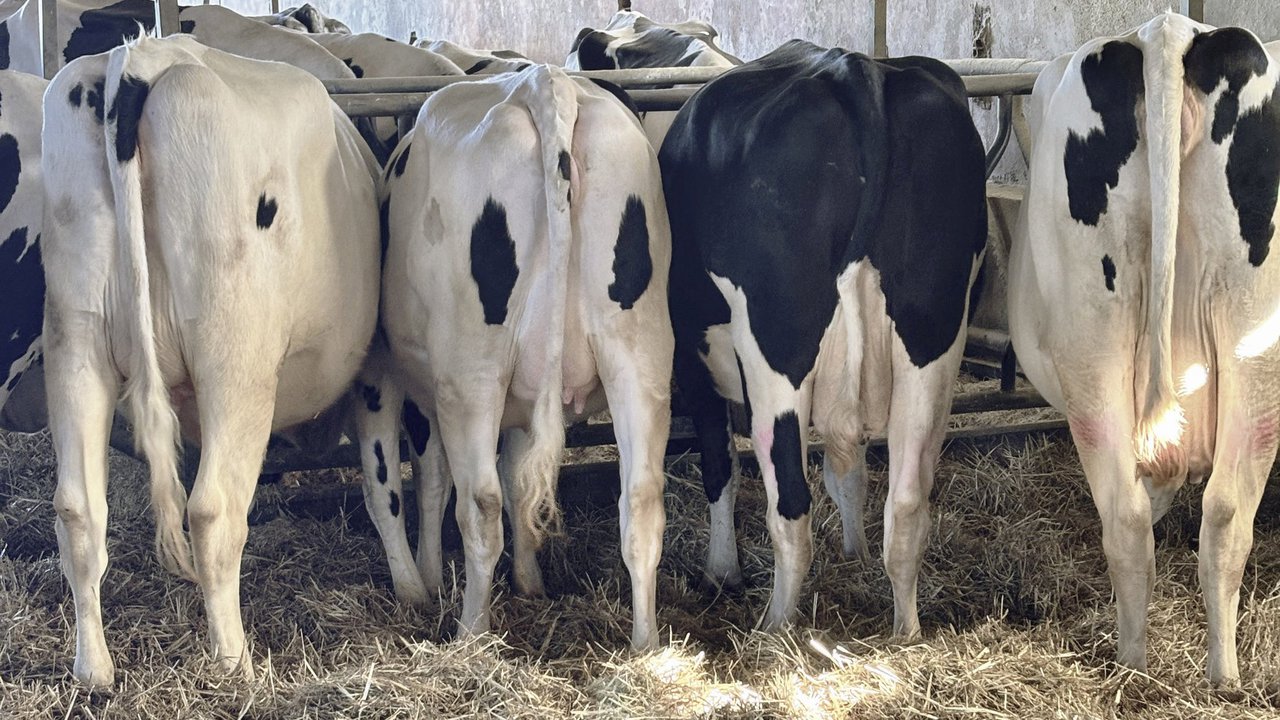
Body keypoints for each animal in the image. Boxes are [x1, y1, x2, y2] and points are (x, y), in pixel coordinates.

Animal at [42, 34, 381, 685]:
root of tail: (141, 58)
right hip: (235, 355)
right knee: (213, 510)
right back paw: (235, 665)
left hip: (76, 340)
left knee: (78, 509)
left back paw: (94, 671)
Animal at [364, 65, 673, 649]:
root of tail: (546, 80)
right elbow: (517, 478)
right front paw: (530, 581)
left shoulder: (402, 380)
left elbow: (430, 480)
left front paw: (429, 579)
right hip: (638, 358)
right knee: (641, 499)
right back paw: (645, 646)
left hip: (472, 375)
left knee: (479, 505)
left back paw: (470, 636)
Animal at [659, 41, 987, 634]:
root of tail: (854, 65)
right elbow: (848, 470)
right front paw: (853, 552)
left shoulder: (694, 362)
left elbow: (719, 466)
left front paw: (721, 572)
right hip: (933, 338)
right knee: (907, 503)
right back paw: (907, 633)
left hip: (778, 348)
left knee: (791, 507)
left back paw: (774, 630)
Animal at [1008, 13, 1280, 685]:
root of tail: (1169, 28)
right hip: (1248, 337)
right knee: (1213, 512)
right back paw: (1201, 676)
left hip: (1104, 342)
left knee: (1142, 513)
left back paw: (1146, 668)